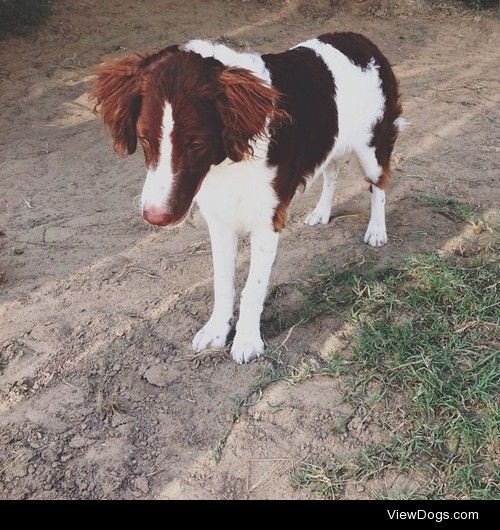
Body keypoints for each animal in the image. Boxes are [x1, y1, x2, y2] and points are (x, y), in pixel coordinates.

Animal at [92, 32, 406, 364]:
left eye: (196, 144)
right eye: (144, 139)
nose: (155, 216)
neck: (228, 163)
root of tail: (361, 39)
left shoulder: (267, 222)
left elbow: (252, 288)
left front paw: (246, 339)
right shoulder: (219, 221)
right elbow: (223, 282)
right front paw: (217, 329)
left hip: (372, 146)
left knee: (378, 186)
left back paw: (377, 230)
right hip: (328, 139)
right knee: (331, 171)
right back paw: (322, 212)